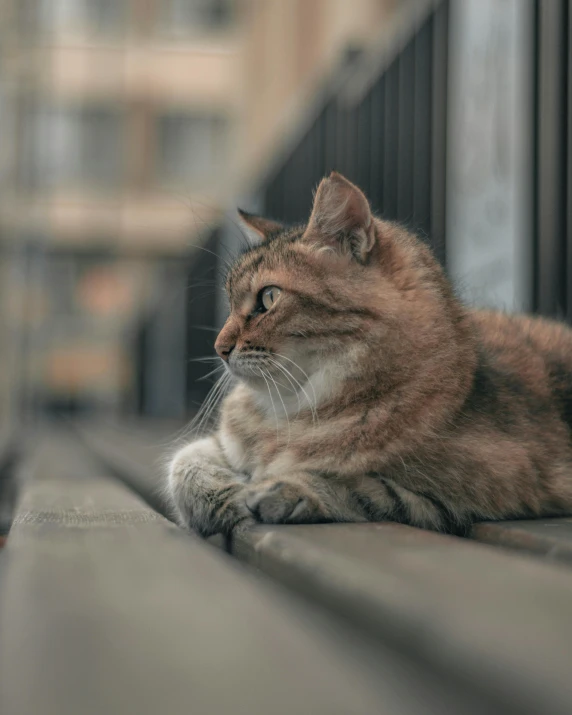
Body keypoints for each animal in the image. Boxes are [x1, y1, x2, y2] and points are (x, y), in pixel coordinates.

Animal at [166, 169, 572, 536]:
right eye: (230, 304)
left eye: (268, 298)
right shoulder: (223, 444)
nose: (219, 348)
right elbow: (184, 463)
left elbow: (365, 488)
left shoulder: (487, 486)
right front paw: (223, 498)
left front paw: (279, 491)